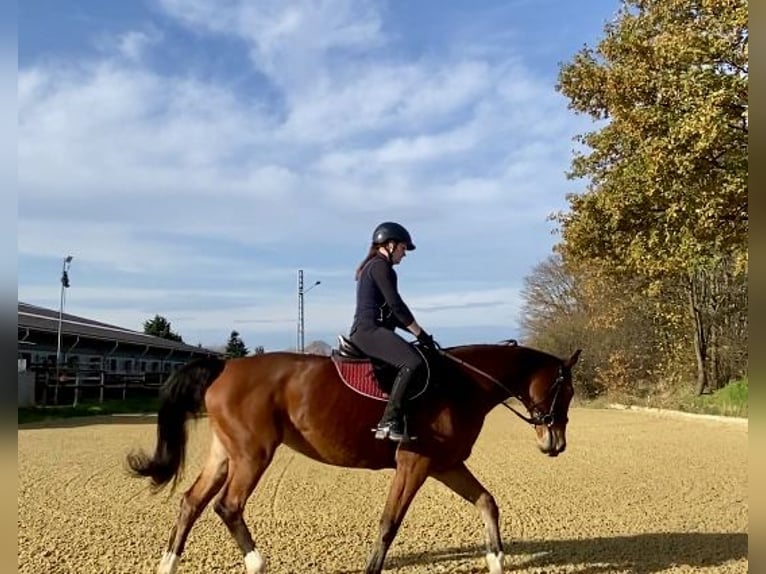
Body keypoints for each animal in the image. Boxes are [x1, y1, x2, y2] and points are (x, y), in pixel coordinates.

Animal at [126, 340, 581, 574]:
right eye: (567, 390)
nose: (555, 444)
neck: (462, 383)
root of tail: (226, 366)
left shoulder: (445, 464)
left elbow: (487, 501)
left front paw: (496, 560)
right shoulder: (415, 464)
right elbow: (389, 523)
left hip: (226, 453)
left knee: (192, 502)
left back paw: (168, 565)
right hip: (253, 454)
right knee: (228, 505)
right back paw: (256, 562)